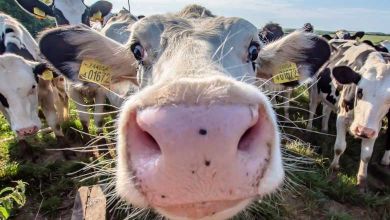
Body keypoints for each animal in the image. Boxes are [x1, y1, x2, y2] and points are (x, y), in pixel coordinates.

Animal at [0, 12, 68, 153]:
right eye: (0, 95)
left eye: (33, 86)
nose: (27, 130)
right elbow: (12, 125)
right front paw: (26, 149)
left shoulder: (46, 91)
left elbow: (54, 123)